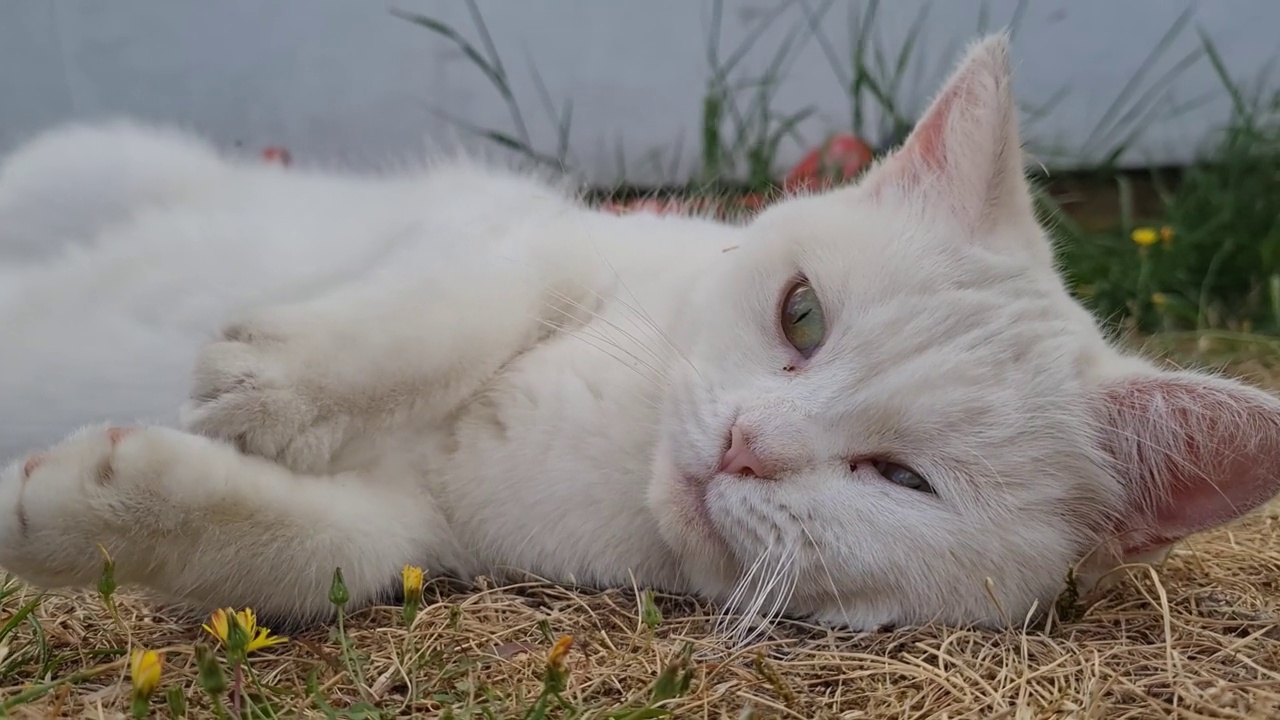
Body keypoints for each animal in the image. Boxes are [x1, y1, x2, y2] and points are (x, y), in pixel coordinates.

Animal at [2, 36, 1280, 630]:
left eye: (900, 479)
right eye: (800, 314)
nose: (745, 444)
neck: (606, 454)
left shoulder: (413, 534)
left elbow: (297, 545)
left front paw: (76, 507)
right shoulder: (519, 237)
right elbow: (450, 314)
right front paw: (276, 384)